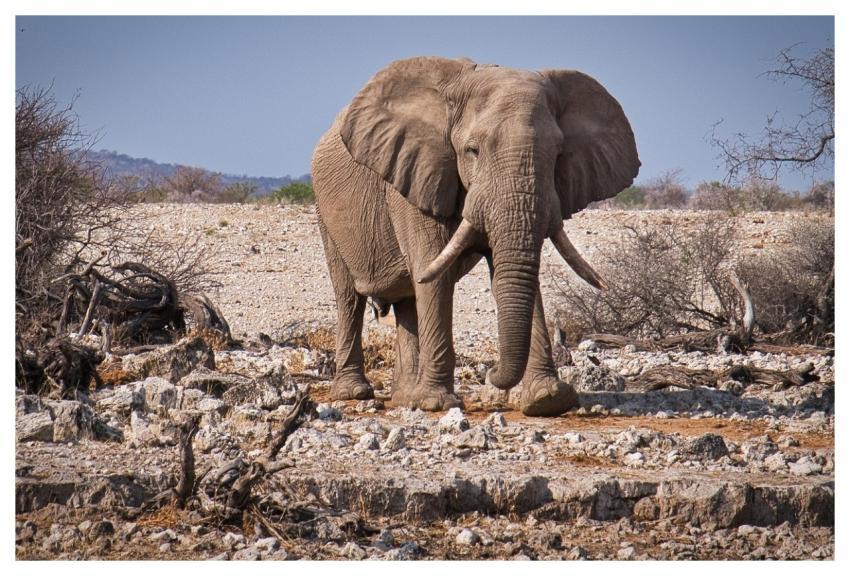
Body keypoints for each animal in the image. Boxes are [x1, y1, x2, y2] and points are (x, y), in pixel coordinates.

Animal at [311, 56, 639, 416]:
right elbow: (433, 274)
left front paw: (548, 399)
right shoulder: (417, 176)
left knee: (408, 300)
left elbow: (512, 274)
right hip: (325, 213)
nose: (493, 374)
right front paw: (437, 403)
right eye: (473, 150)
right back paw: (355, 393)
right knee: (349, 297)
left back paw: (404, 397)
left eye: (557, 155)